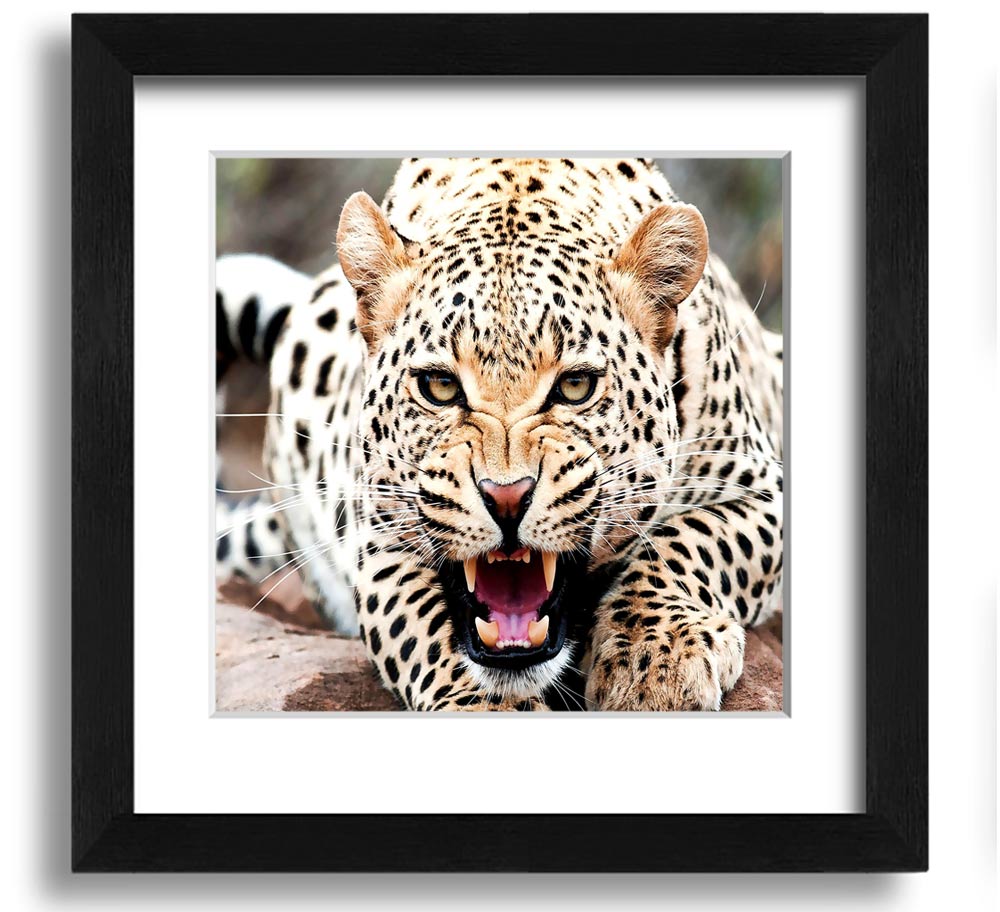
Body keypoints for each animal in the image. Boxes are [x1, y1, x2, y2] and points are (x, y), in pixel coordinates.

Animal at [215, 157, 783, 711]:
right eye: (440, 386)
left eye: (575, 386)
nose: (506, 499)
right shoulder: (378, 540)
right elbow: (425, 631)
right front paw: (481, 704)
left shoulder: (763, 487)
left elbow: (687, 541)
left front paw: (654, 659)